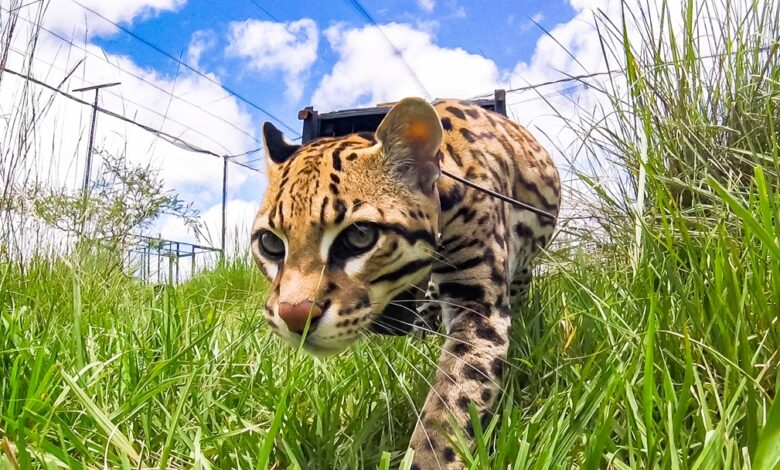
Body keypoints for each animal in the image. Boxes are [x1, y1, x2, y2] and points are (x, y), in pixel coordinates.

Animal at [251, 97, 560, 469]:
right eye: (269, 243)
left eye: (359, 235)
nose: (296, 316)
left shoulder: (480, 305)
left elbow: (452, 402)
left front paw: (429, 457)